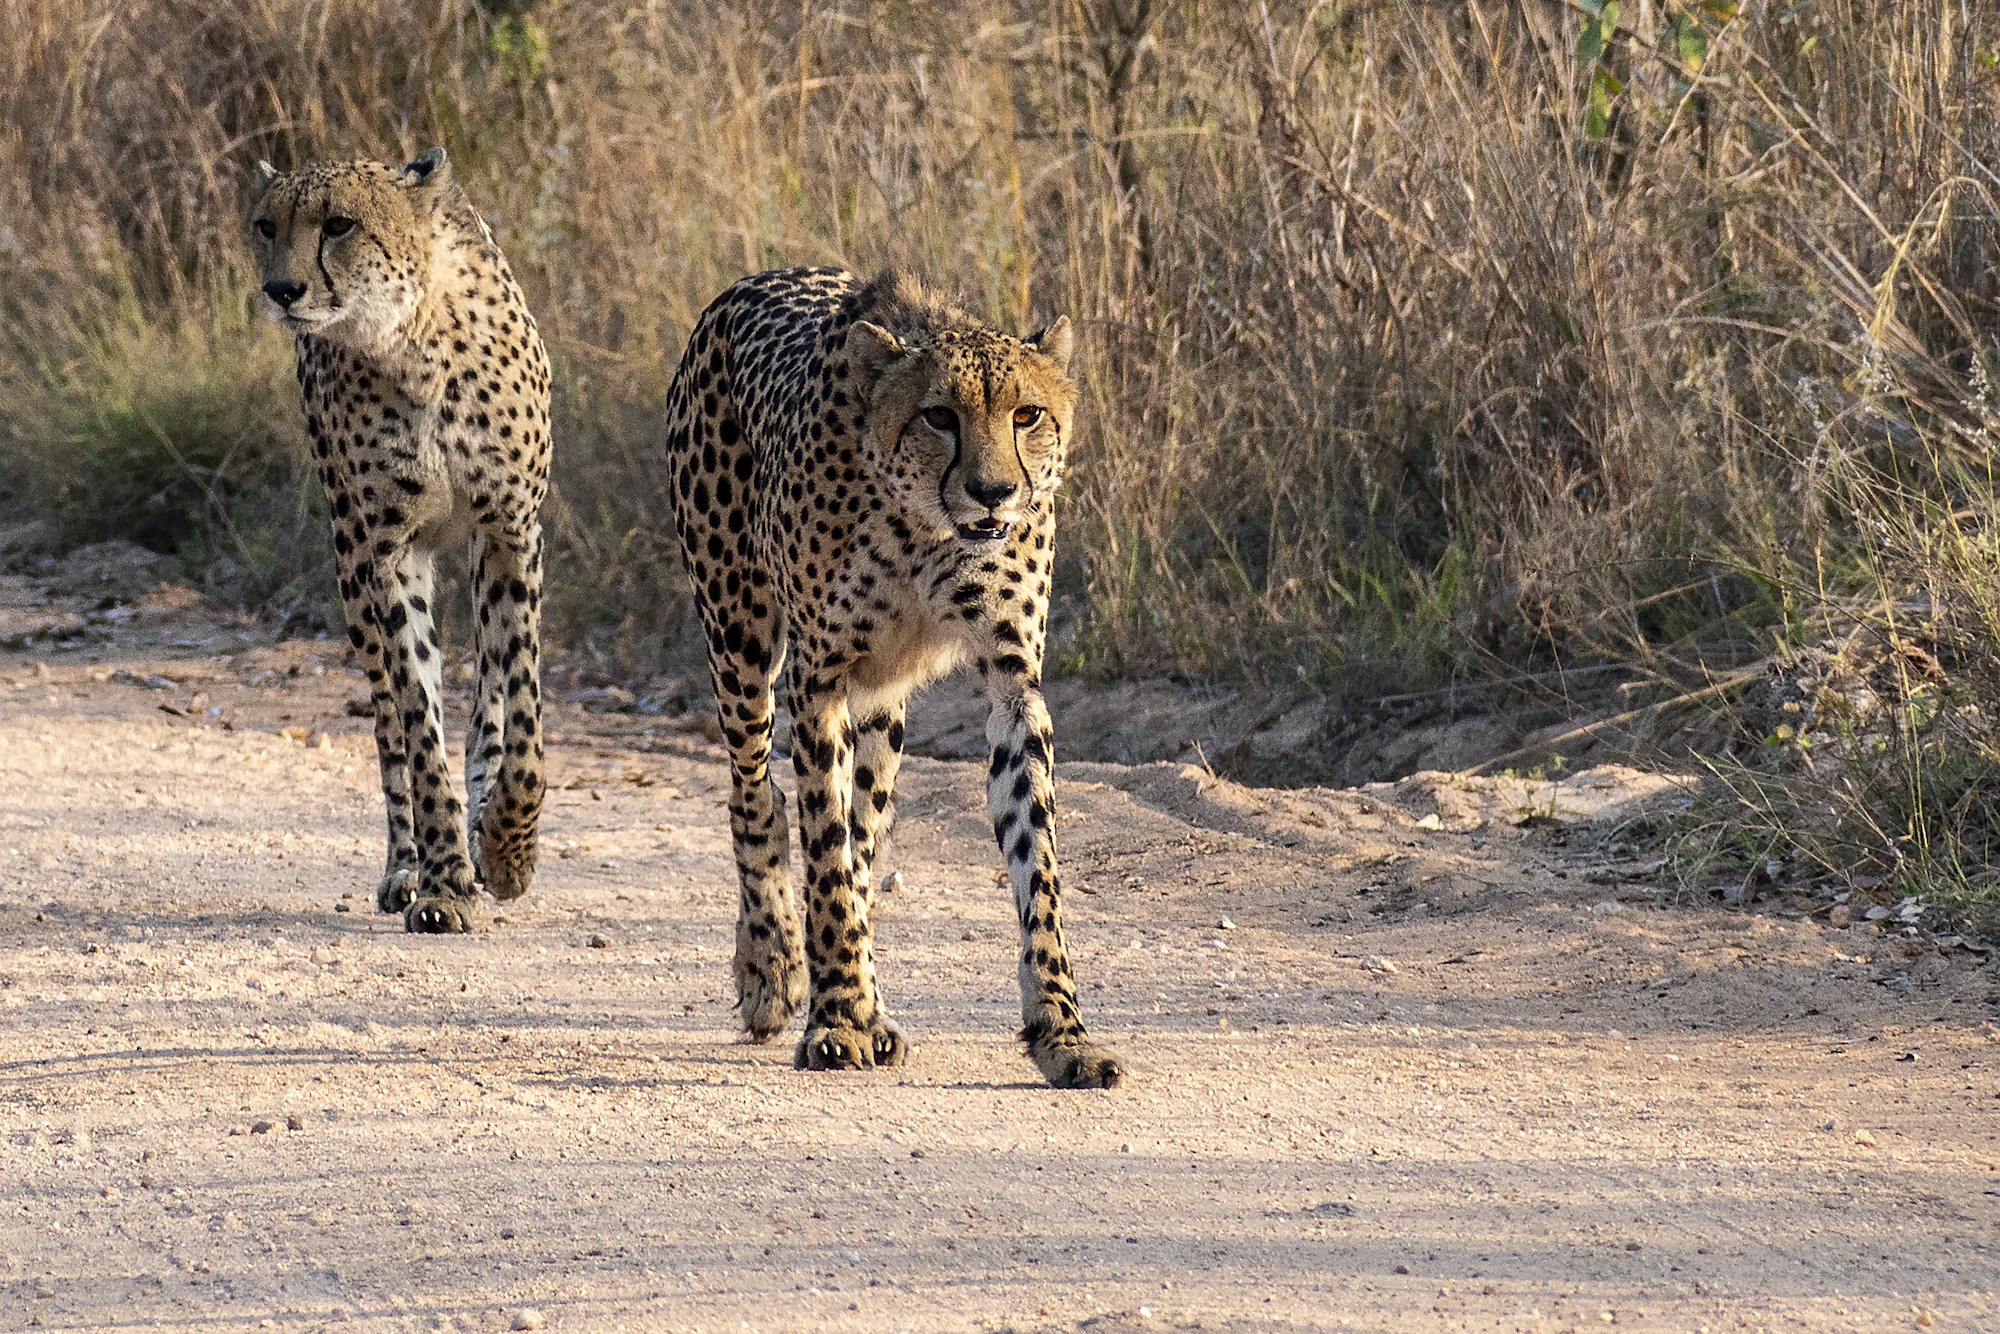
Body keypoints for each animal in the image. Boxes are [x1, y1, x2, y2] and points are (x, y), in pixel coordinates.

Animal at [249, 147, 551, 933]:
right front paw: (443, 879)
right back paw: (407, 868)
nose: (282, 289)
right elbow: (418, 722)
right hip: (351, 568)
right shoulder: (390, 551)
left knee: (489, 700)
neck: (413, 341)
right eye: (266, 226)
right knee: (389, 719)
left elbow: (522, 717)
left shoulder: (511, 531)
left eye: (339, 224)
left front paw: (506, 849)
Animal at [664, 266, 1125, 1088]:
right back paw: (773, 968)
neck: (925, 530)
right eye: (938, 416)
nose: (994, 492)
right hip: (740, 635)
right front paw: (834, 1018)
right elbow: (823, 855)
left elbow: (1033, 868)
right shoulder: (816, 680)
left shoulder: (1012, 686)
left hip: (881, 705)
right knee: (757, 795)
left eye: (1027, 414)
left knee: (863, 838)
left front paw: (1063, 1033)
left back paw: (868, 1005)